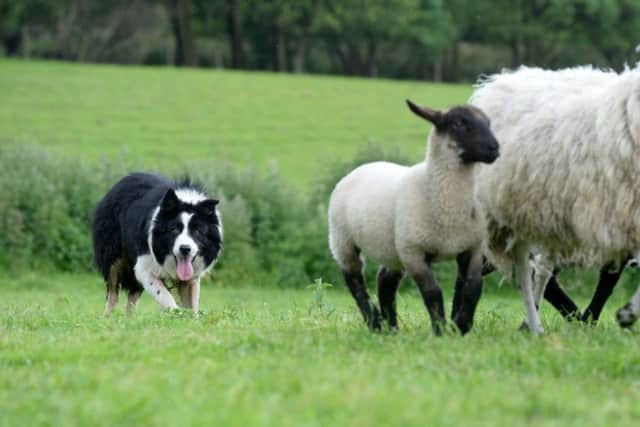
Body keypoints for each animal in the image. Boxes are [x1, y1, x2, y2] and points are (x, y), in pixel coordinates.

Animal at [330, 100, 500, 334]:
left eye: (488, 123)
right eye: (458, 123)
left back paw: (392, 329)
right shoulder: (414, 253)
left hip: (393, 249)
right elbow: (433, 293)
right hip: (343, 240)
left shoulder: (472, 248)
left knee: (385, 282)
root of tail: (364, 166)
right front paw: (440, 330)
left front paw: (461, 326)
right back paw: (375, 324)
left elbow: (473, 288)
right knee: (354, 280)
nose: (495, 148)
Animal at [470, 67, 640, 334]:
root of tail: (499, 81)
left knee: (540, 271)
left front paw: (614, 316)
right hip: (509, 215)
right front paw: (595, 319)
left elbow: (608, 276)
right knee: (527, 270)